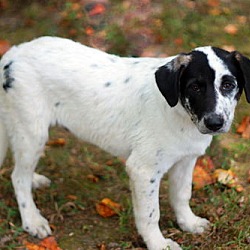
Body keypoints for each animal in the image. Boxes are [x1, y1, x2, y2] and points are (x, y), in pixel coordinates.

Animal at [0, 37, 250, 250]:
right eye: (195, 87)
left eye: (228, 85)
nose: (215, 123)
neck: (180, 113)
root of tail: (13, 53)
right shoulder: (143, 170)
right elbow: (150, 214)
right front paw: (158, 244)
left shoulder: (185, 160)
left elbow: (181, 194)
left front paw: (188, 223)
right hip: (33, 131)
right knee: (17, 177)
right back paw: (32, 220)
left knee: (22, 170)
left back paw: (34, 180)